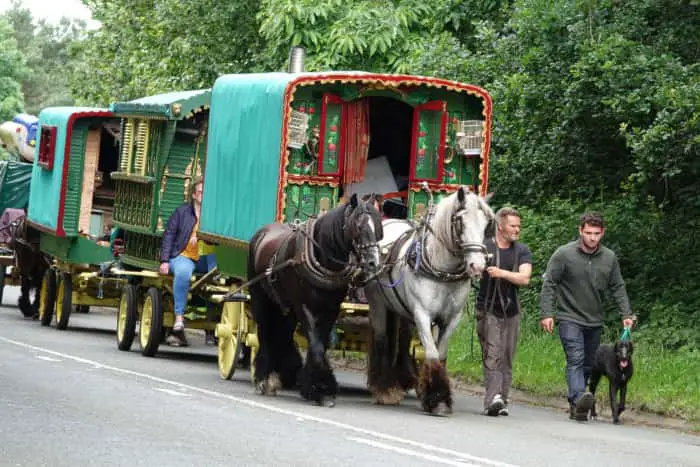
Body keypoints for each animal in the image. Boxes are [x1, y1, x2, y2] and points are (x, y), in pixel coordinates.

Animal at [247, 194, 382, 406]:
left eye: (378, 226)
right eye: (358, 226)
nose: (372, 263)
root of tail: (262, 232)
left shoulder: (331, 308)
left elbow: (320, 343)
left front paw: (315, 388)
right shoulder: (303, 306)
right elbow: (316, 346)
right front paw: (322, 388)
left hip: (285, 306)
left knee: (283, 334)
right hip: (260, 297)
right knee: (264, 333)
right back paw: (264, 379)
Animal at [364, 185, 494, 414]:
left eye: (487, 224)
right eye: (460, 221)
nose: (477, 265)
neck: (442, 269)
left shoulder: (452, 318)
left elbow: (440, 354)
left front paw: (435, 395)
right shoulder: (422, 314)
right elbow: (431, 353)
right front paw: (438, 399)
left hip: (402, 308)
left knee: (403, 337)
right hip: (378, 303)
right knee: (381, 339)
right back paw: (384, 388)